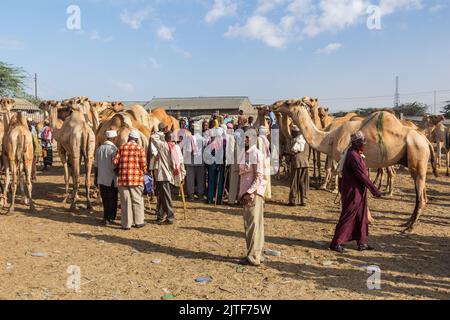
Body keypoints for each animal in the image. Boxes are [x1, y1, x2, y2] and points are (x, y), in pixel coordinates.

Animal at [272, 98, 438, 232]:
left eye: (288, 102)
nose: (274, 104)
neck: (329, 138)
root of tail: (426, 141)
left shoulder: (343, 161)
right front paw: (369, 219)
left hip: (417, 157)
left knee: (421, 196)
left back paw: (409, 227)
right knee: (421, 194)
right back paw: (406, 223)